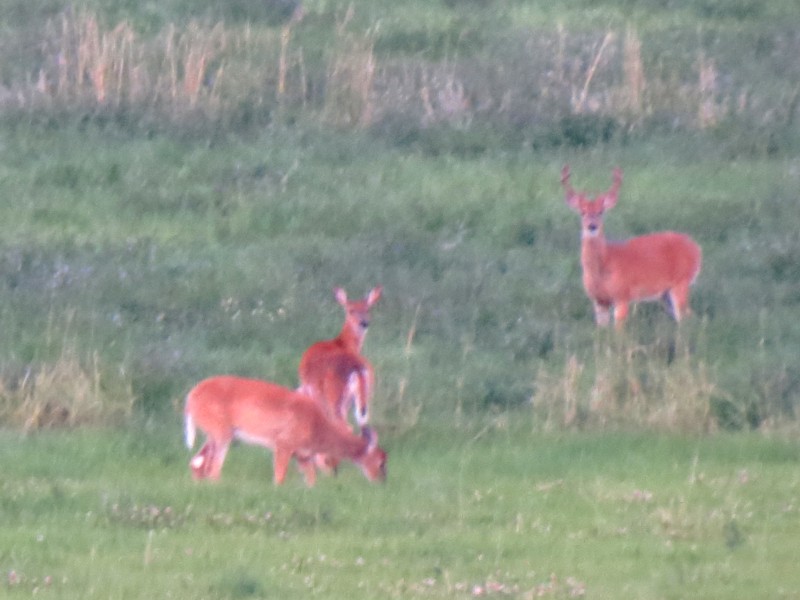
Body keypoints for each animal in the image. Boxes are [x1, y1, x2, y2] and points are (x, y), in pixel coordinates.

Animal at [185, 376, 390, 488]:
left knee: (198, 463)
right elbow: (279, 478)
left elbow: (312, 481)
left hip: (214, 434)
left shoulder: (303, 456)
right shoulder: (283, 443)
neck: (317, 428)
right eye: (381, 461)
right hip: (221, 432)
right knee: (212, 469)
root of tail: (190, 399)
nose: (382, 482)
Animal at [564, 165, 700, 328]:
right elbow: (602, 331)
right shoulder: (599, 300)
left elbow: (619, 331)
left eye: (601, 212)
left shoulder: (623, 295)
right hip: (665, 293)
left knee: (685, 319)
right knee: (690, 316)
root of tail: (696, 248)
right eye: (582, 212)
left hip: (681, 282)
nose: (592, 226)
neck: (604, 264)